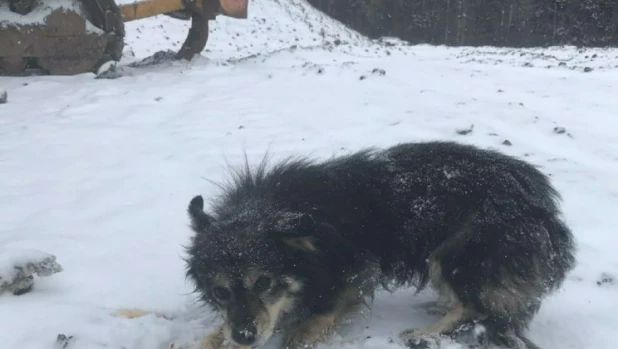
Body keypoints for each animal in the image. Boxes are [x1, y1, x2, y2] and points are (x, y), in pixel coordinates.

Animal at [183, 140, 572, 348]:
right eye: (219, 292)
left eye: (263, 282)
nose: (245, 336)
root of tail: (544, 209)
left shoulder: (356, 270)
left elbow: (319, 314)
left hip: (455, 253)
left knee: (475, 308)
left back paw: (424, 334)